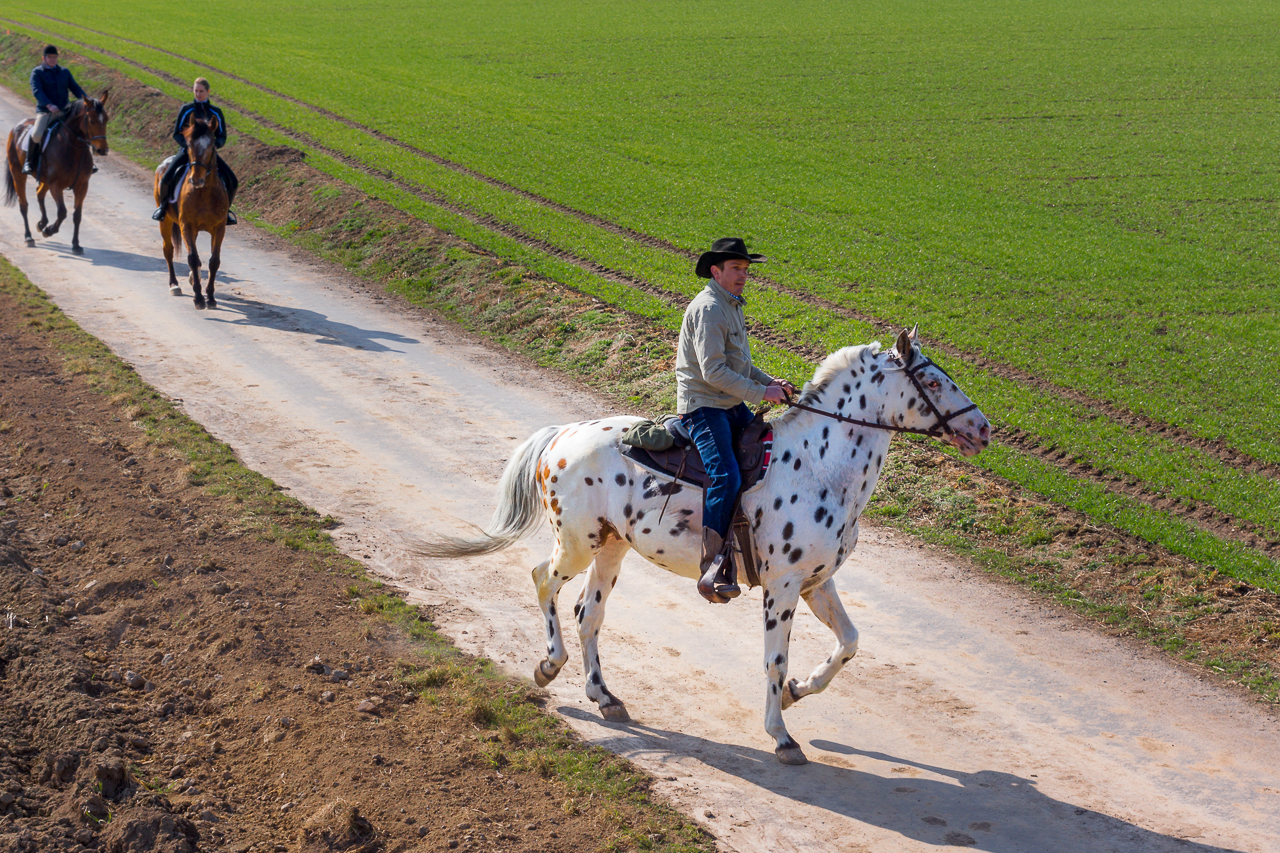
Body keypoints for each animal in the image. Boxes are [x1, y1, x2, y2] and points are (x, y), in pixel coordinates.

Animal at [2, 93, 110, 253]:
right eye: (91, 120)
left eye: (107, 119)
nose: (102, 150)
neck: (73, 148)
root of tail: (18, 126)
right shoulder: (56, 186)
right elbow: (62, 212)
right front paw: (49, 230)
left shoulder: (82, 186)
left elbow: (77, 215)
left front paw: (76, 245)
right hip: (18, 174)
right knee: (24, 205)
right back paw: (29, 237)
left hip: (45, 179)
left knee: (39, 193)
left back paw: (42, 223)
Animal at [154, 115, 227, 308]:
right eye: (189, 144)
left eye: (211, 145)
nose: (197, 179)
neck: (204, 193)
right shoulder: (186, 225)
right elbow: (193, 258)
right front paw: (199, 298)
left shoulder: (219, 228)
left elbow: (214, 261)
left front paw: (210, 297)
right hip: (166, 221)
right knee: (168, 249)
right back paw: (174, 285)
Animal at [419, 326, 988, 763]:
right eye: (932, 380)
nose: (983, 429)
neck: (821, 466)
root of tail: (562, 435)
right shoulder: (782, 588)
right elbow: (774, 660)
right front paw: (781, 736)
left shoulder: (816, 583)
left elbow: (848, 642)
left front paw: (798, 692)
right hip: (578, 543)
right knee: (544, 582)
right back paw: (548, 665)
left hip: (612, 549)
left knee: (588, 615)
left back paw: (604, 696)